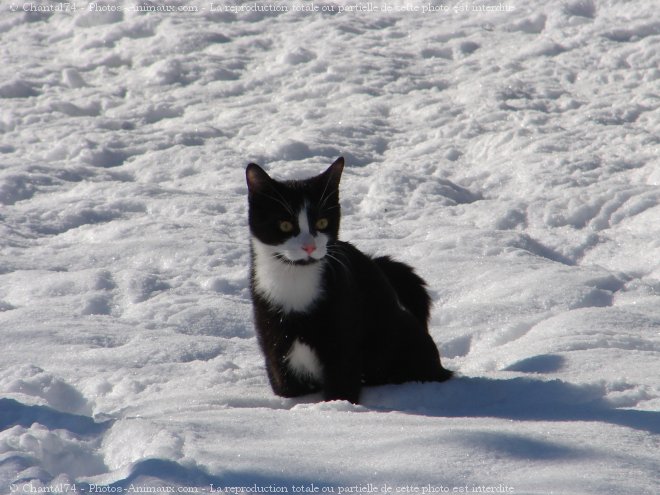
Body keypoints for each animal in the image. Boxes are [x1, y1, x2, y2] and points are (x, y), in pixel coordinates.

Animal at [245, 157, 452, 404]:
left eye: (322, 222)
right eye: (285, 224)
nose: (309, 247)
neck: (295, 282)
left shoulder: (344, 324)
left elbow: (342, 379)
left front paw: (338, 406)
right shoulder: (270, 328)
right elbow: (284, 381)